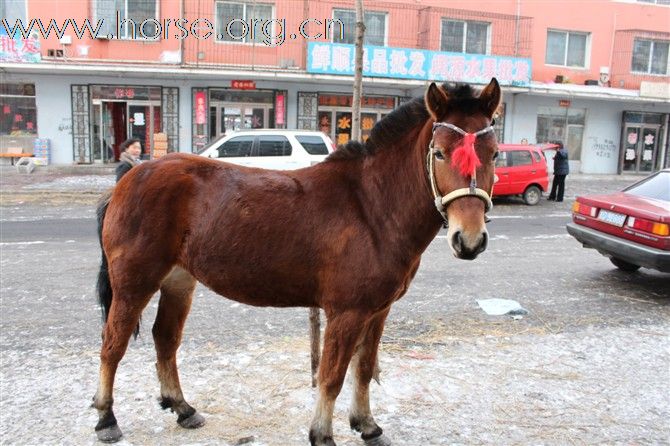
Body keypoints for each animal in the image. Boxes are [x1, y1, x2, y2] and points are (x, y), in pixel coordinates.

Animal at [92, 78, 502, 444]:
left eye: (494, 153)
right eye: (440, 153)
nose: (469, 239)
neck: (371, 206)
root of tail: (129, 178)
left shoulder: (378, 311)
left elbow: (364, 369)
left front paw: (367, 426)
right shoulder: (347, 312)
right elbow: (332, 376)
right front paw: (322, 434)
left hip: (178, 280)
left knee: (165, 338)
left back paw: (182, 408)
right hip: (133, 283)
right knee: (113, 344)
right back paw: (106, 418)